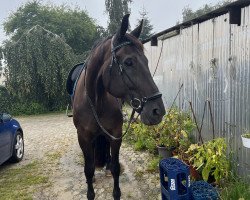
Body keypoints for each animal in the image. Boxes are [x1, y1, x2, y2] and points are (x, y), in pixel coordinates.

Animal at [71, 14, 164, 199]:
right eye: (128, 62)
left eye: (146, 61)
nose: (158, 111)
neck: (95, 101)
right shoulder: (83, 137)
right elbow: (88, 169)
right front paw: (90, 190)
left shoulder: (115, 134)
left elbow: (115, 167)